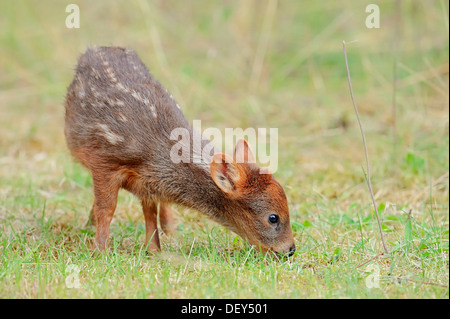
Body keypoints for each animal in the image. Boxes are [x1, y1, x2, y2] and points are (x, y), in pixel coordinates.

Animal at [64, 46, 296, 258]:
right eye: (273, 217)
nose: (291, 250)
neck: (157, 154)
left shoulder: (147, 184)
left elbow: (150, 213)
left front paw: (154, 251)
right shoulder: (105, 159)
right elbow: (107, 209)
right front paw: (100, 251)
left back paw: (171, 232)